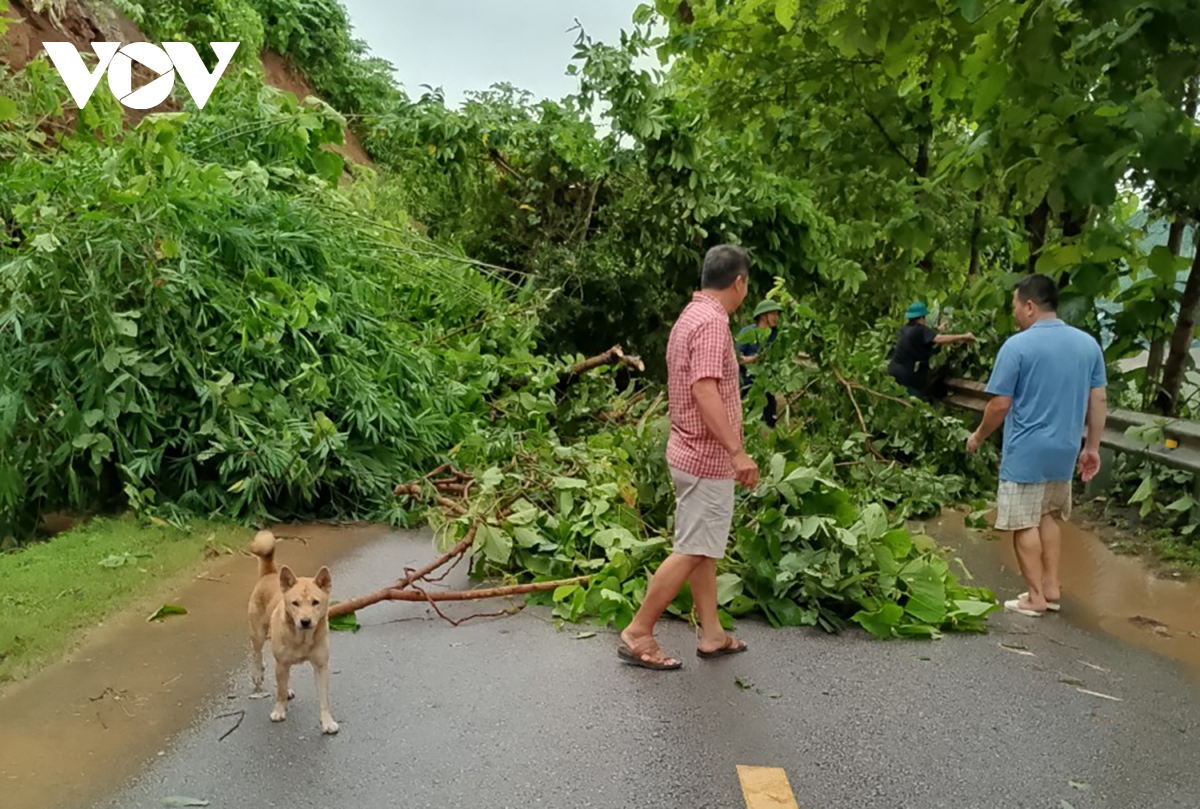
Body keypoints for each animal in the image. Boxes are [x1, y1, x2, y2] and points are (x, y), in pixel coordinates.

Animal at [243, 525, 338, 734]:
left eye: (315, 602)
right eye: (295, 603)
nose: (305, 621)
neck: (302, 638)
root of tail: (269, 574)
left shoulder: (321, 666)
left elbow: (324, 699)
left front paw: (327, 722)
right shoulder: (281, 662)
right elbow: (278, 693)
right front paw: (279, 711)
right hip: (258, 634)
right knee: (257, 654)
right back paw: (258, 674)